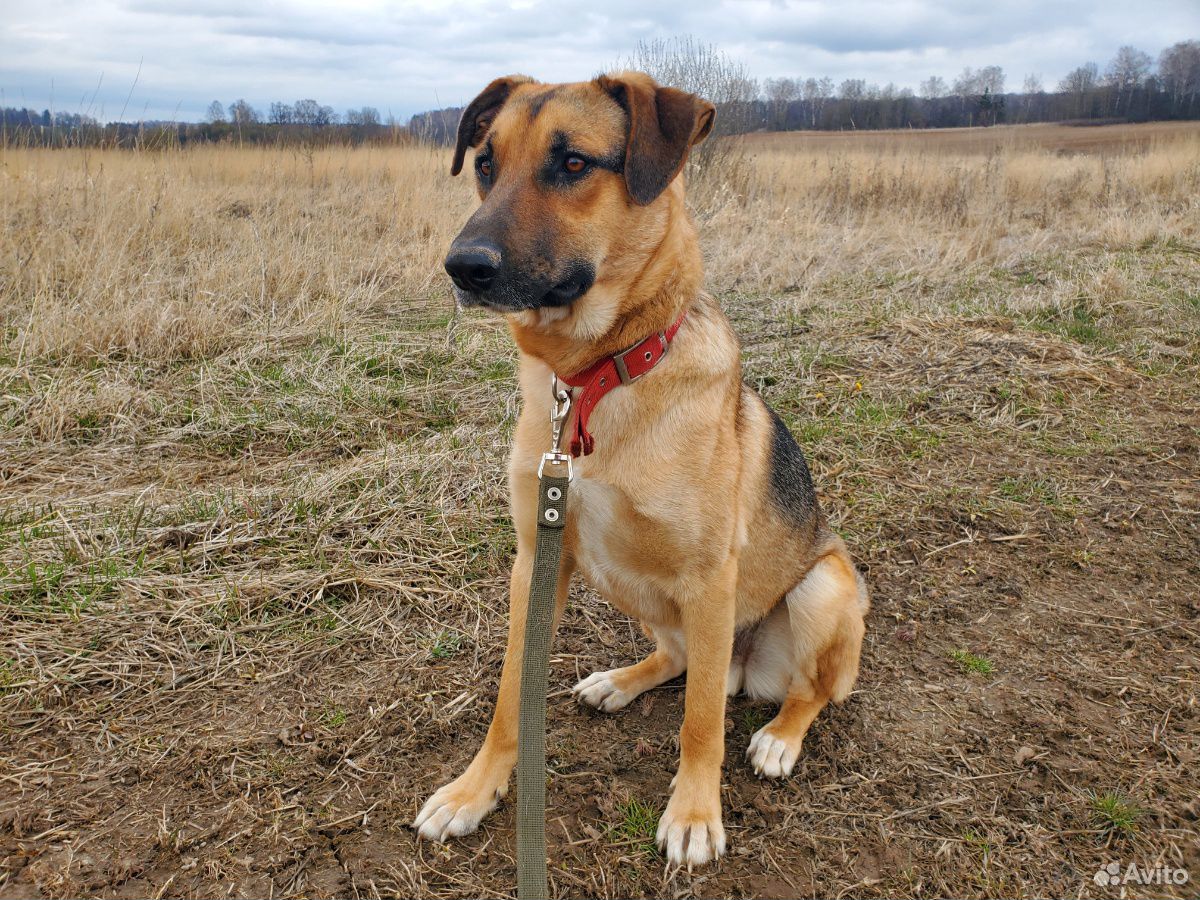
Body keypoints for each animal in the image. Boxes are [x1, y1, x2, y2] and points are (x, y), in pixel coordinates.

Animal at [417, 68, 868, 868]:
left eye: (573, 162)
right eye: (485, 164)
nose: (463, 266)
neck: (597, 379)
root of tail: (748, 667)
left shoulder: (710, 576)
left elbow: (700, 724)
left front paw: (694, 814)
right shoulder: (538, 560)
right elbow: (510, 695)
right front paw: (475, 791)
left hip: (824, 588)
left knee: (790, 692)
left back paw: (780, 737)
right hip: (633, 586)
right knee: (685, 663)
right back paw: (621, 681)